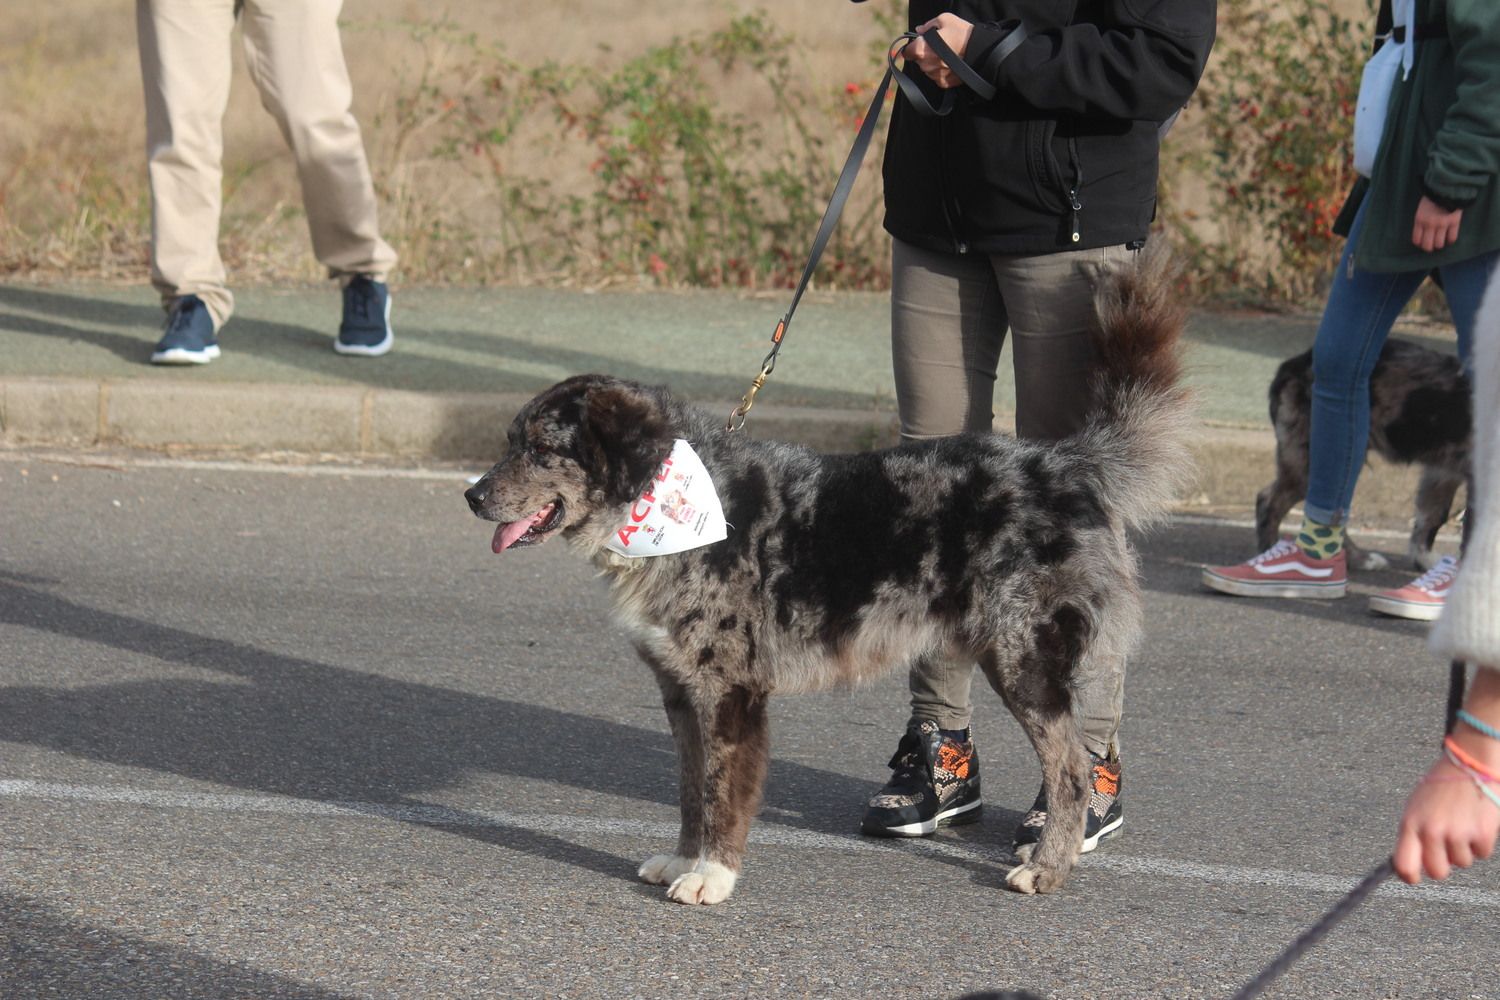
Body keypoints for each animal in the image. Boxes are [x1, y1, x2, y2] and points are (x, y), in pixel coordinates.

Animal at [468, 244, 1194, 905]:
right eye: (510, 441)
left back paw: (1047, 866)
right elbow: (690, 792)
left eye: (542, 447)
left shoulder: (730, 694)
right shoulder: (681, 693)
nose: (473, 496)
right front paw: (682, 860)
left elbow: (722, 793)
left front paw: (712, 876)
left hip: (1025, 664)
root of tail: (1066, 464)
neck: (672, 505)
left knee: (1073, 768)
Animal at [1254, 338, 1464, 566]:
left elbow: (1434, 514)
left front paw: (1425, 560)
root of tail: (1293, 365)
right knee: (1271, 502)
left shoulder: (1444, 470)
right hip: (1312, 461)